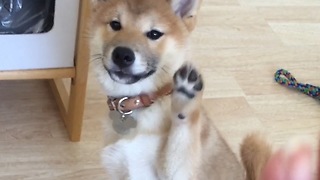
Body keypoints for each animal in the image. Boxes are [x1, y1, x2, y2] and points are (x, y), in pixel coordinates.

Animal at [89, 0, 249, 179]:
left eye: (154, 34)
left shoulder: (180, 173)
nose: (122, 55)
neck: (142, 102)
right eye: (115, 24)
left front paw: (185, 101)